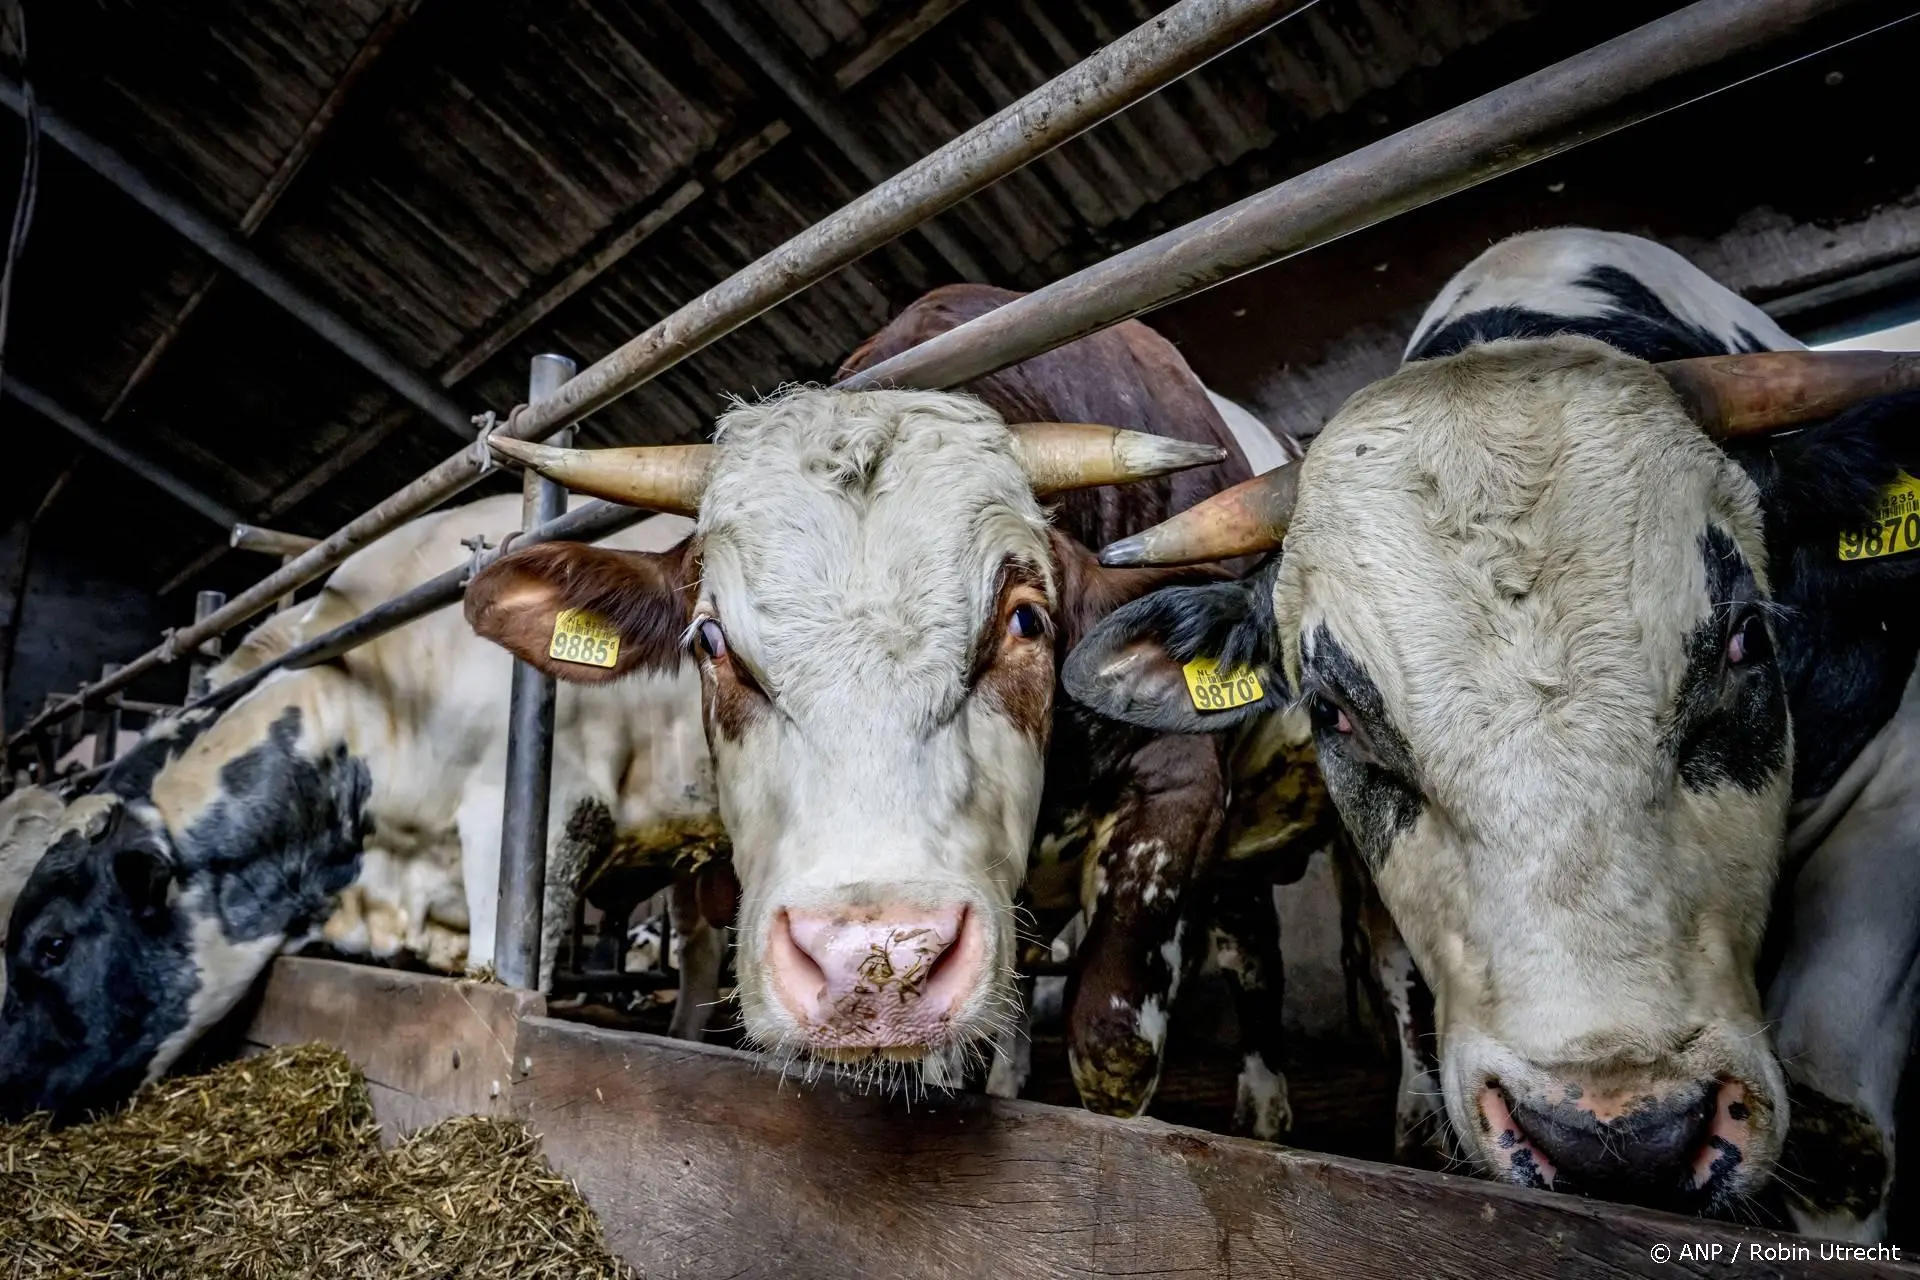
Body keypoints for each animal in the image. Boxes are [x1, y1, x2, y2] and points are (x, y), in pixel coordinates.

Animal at [464, 284, 1334, 1134]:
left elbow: (1110, 1042)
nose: (870, 962)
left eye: (1027, 618)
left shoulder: (1178, 787)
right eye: (710, 639)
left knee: (1258, 950)